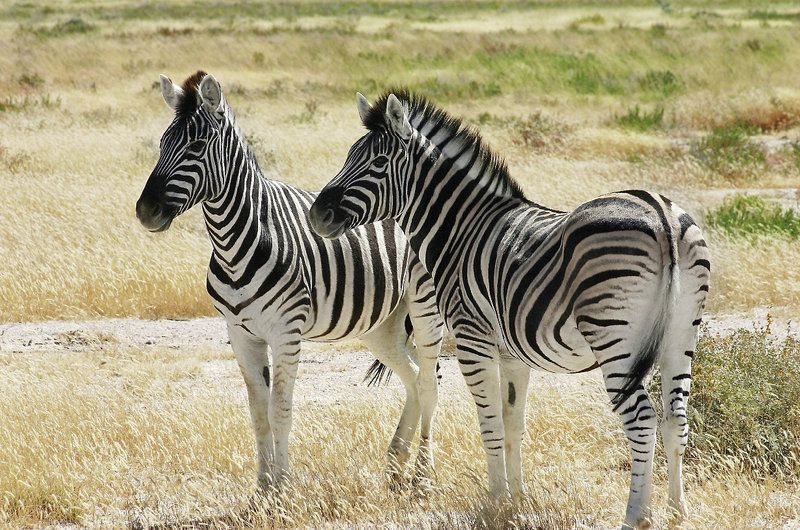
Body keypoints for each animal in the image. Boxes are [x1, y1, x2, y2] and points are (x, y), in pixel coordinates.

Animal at [135, 73, 444, 491]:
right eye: (162, 144)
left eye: (196, 146)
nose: (145, 211)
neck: (237, 242)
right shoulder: (240, 333)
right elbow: (257, 411)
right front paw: (262, 489)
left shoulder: (286, 331)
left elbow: (280, 408)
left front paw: (282, 488)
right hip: (381, 324)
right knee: (411, 377)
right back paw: (396, 465)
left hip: (425, 307)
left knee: (429, 382)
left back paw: (422, 476)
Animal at [308, 91, 710, 529]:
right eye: (349, 156)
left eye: (377, 163)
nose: (316, 215)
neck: (461, 231)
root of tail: (662, 213)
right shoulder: (513, 354)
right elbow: (514, 423)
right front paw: (517, 498)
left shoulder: (472, 340)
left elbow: (491, 426)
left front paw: (495, 501)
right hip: (682, 334)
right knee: (676, 420)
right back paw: (677, 510)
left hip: (614, 337)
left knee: (642, 421)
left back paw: (636, 515)